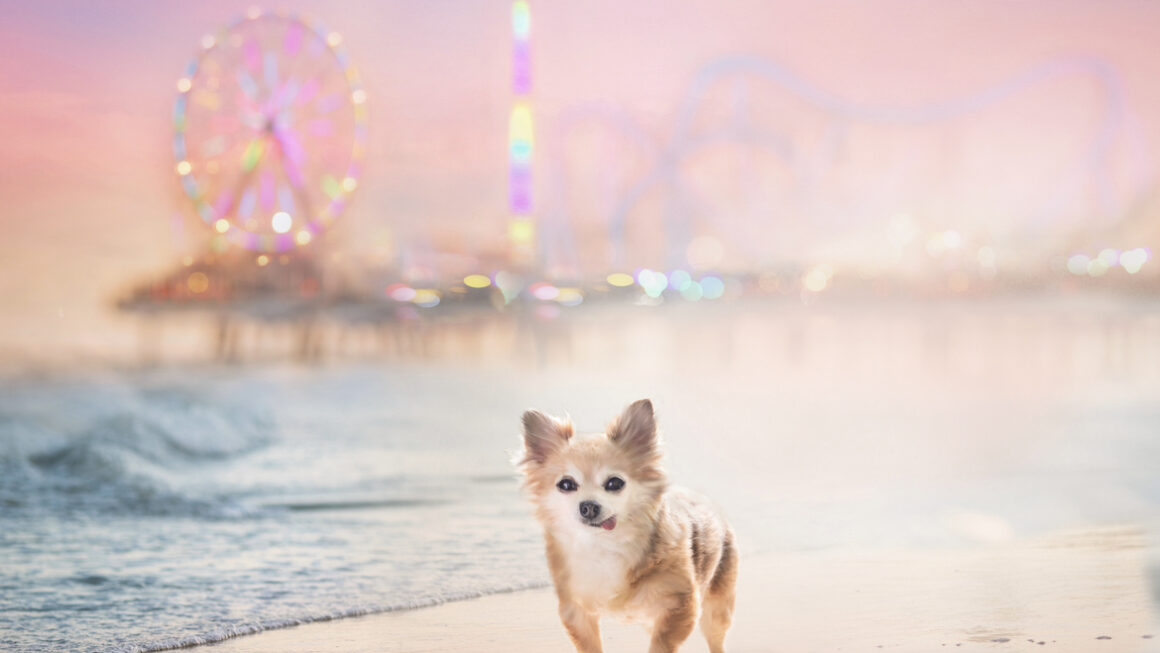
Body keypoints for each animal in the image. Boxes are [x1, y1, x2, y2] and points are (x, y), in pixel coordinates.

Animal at [517, 398, 733, 653]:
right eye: (566, 484)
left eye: (614, 483)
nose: (588, 506)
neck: (605, 546)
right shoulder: (576, 612)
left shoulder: (680, 606)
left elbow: (660, 645)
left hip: (717, 607)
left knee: (715, 637)